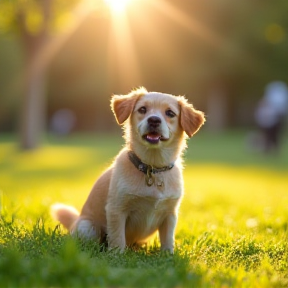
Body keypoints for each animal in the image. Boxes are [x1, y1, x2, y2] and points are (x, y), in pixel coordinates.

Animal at [51, 87, 205, 252]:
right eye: (142, 109)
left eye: (170, 113)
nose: (154, 120)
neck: (152, 167)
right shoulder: (116, 210)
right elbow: (118, 238)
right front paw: (116, 254)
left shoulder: (170, 214)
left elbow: (168, 239)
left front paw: (168, 254)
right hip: (87, 227)